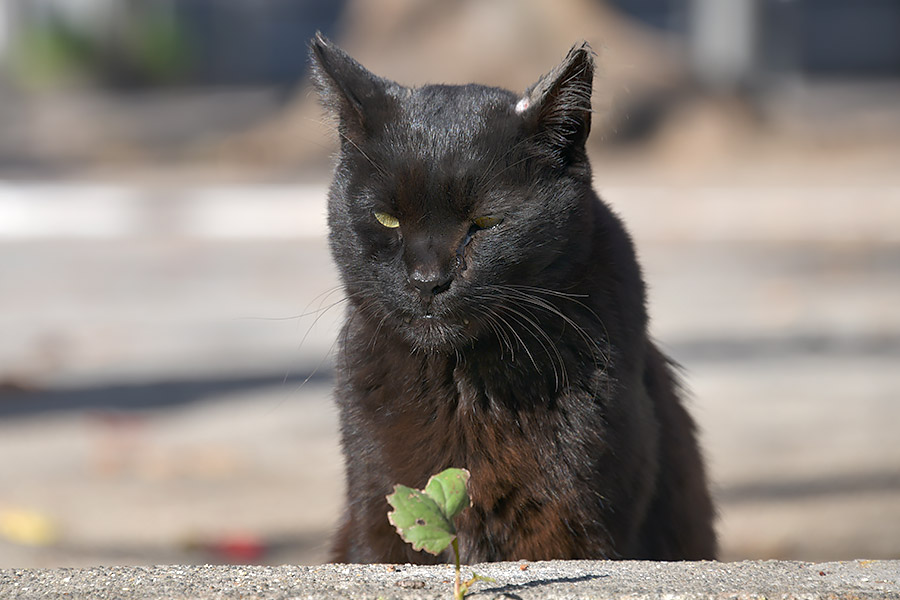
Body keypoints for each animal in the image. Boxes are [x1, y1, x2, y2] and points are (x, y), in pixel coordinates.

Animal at [310, 35, 716, 564]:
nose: (427, 279)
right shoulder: (378, 508)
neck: (465, 385)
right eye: (386, 218)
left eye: (485, 222)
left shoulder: (573, 521)